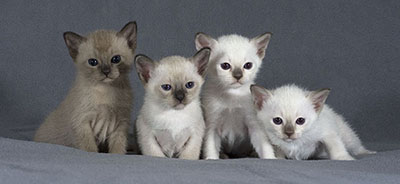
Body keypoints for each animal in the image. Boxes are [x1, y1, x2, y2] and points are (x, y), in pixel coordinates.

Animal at [34, 21, 138, 154]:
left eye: (116, 59)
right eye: (93, 62)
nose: (106, 71)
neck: (105, 89)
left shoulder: (120, 122)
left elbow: (118, 146)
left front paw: (118, 154)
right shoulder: (82, 122)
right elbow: (90, 148)